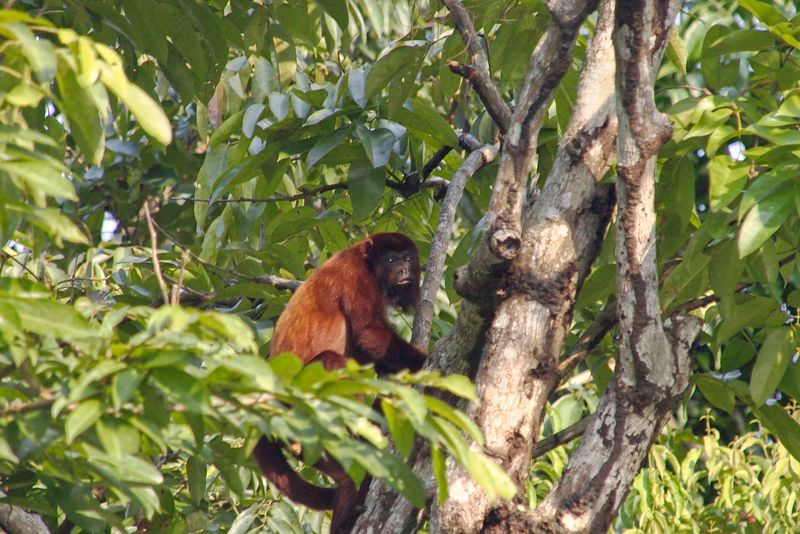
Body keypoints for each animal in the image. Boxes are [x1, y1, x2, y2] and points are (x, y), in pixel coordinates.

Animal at [255, 234, 432, 534]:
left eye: (407, 258)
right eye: (390, 260)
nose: (403, 270)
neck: (367, 259)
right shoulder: (357, 277)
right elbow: (370, 333)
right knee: (331, 360)